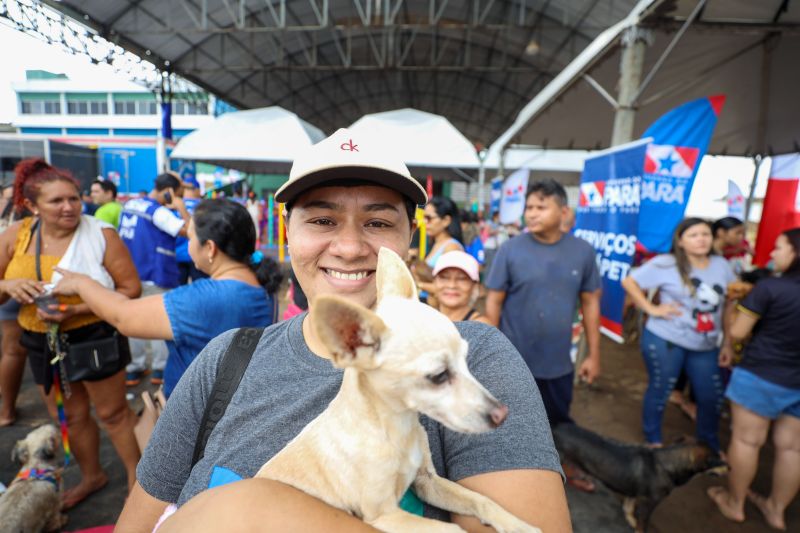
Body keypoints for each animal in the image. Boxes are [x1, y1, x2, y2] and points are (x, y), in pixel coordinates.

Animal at [256, 247, 540, 528]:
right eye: (438, 376)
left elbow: (481, 500)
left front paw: (518, 526)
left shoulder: (428, 482)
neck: (397, 426)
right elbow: (449, 528)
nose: (501, 414)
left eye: (465, 360)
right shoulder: (383, 516)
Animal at [552, 422, 720, 528]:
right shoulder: (649, 504)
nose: (727, 464)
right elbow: (642, 524)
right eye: (717, 459)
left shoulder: (632, 492)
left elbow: (629, 507)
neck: (665, 464)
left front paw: (630, 519)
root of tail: (554, 429)